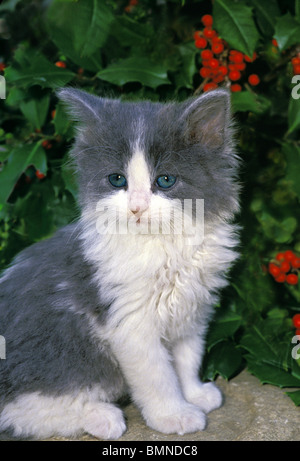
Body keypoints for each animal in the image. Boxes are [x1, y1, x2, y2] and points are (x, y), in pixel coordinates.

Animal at [0, 87, 239, 438]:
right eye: (116, 180)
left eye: (165, 181)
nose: (137, 207)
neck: (162, 244)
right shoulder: (129, 322)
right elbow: (158, 375)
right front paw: (174, 415)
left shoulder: (192, 308)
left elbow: (186, 357)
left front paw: (194, 394)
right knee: (21, 409)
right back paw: (102, 416)